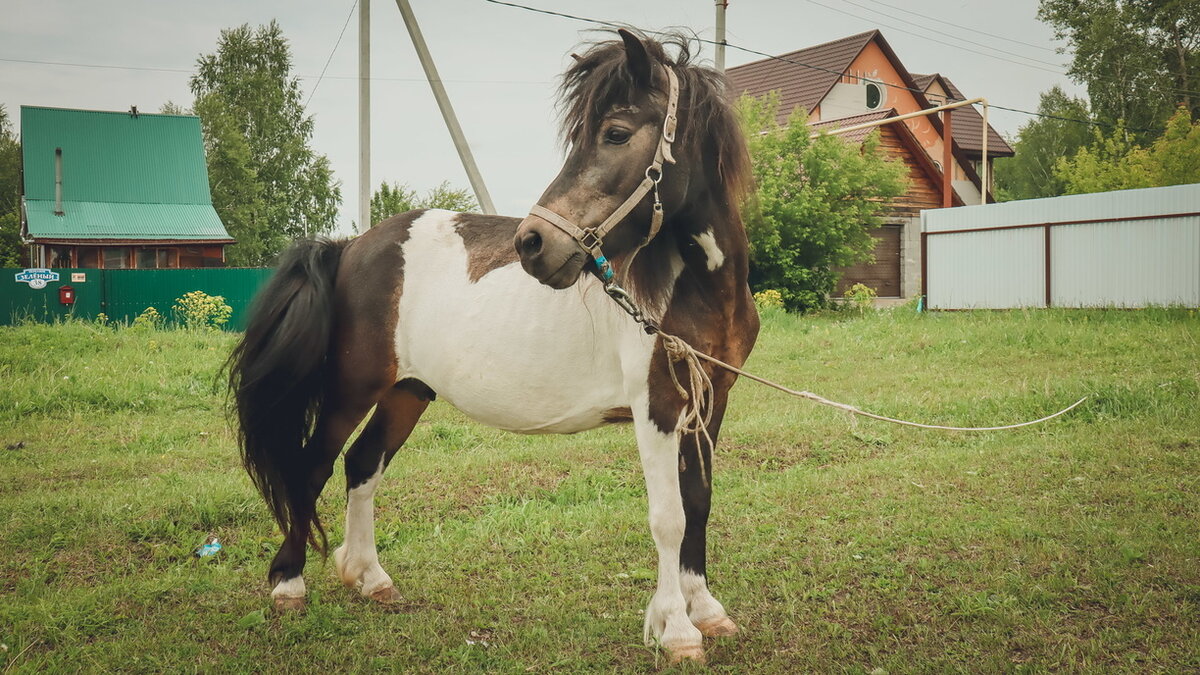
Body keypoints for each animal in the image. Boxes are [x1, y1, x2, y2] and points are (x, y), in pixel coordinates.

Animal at [229, 27, 758, 662]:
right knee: (313, 468)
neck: (695, 291)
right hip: (351, 390)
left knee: (362, 464)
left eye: (615, 133)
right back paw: (289, 584)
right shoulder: (655, 406)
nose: (533, 244)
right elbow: (668, 516)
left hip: (408, 391)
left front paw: (707, 611)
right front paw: (676, 629)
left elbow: (698, 503)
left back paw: (370, 577)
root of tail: (350, 247)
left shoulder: (710, 401)